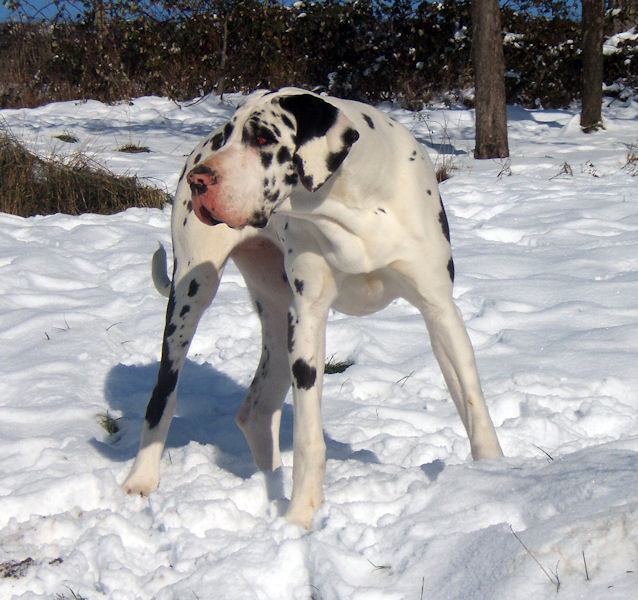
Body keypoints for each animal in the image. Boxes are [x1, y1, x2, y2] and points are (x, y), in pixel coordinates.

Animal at [124, 86, 504, 528]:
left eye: (263, 137)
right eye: (230, 135)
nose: (199, 180)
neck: (357, 208)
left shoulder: (440, 309)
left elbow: (474, 403)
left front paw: (494, 471)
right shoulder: (307, 320)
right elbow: (308, 437)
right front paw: (301, 516)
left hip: (275, 315)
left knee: (256, 411)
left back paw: (268, 476)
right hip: (193, 293)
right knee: (162, 395)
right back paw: (141, 479)